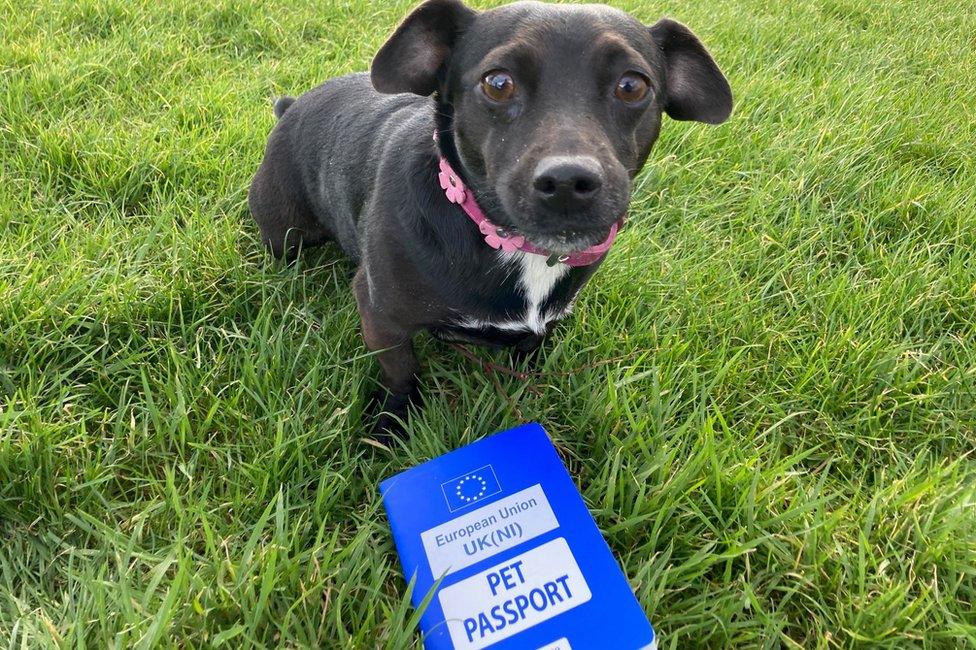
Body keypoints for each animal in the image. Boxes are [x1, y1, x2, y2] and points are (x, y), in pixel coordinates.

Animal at [250, 1, 732, 436]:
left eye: (632, 86)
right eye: (498, 83)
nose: (568, 182)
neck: (509, 241)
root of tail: (292, 106)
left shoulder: (544, 323)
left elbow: (531, 349)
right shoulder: (380, 317)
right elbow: (402, 372)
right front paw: (393, 425)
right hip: (286, 230)